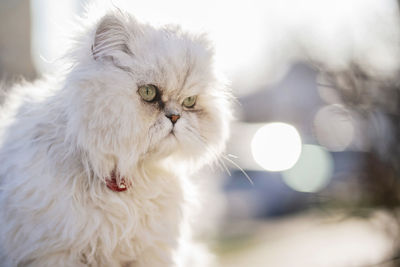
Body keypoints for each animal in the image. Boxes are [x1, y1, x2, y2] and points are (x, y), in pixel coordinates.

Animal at [0, 8, 231, 267]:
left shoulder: (151, 253)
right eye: (148, 93)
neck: (118, 175)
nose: (175, 117)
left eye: (189, 101)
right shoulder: (53, 253)